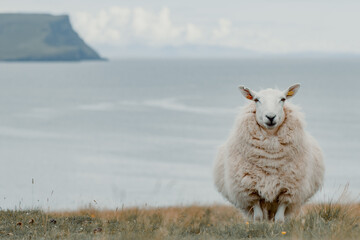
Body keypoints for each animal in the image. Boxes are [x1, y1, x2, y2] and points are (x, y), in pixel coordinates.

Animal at [214, 84, 326, 221]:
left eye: (283, 99)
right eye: (256, 100)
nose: (271, 117)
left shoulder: (288, 191)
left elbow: (279, 219)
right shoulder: (251, 191)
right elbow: (258, 217)